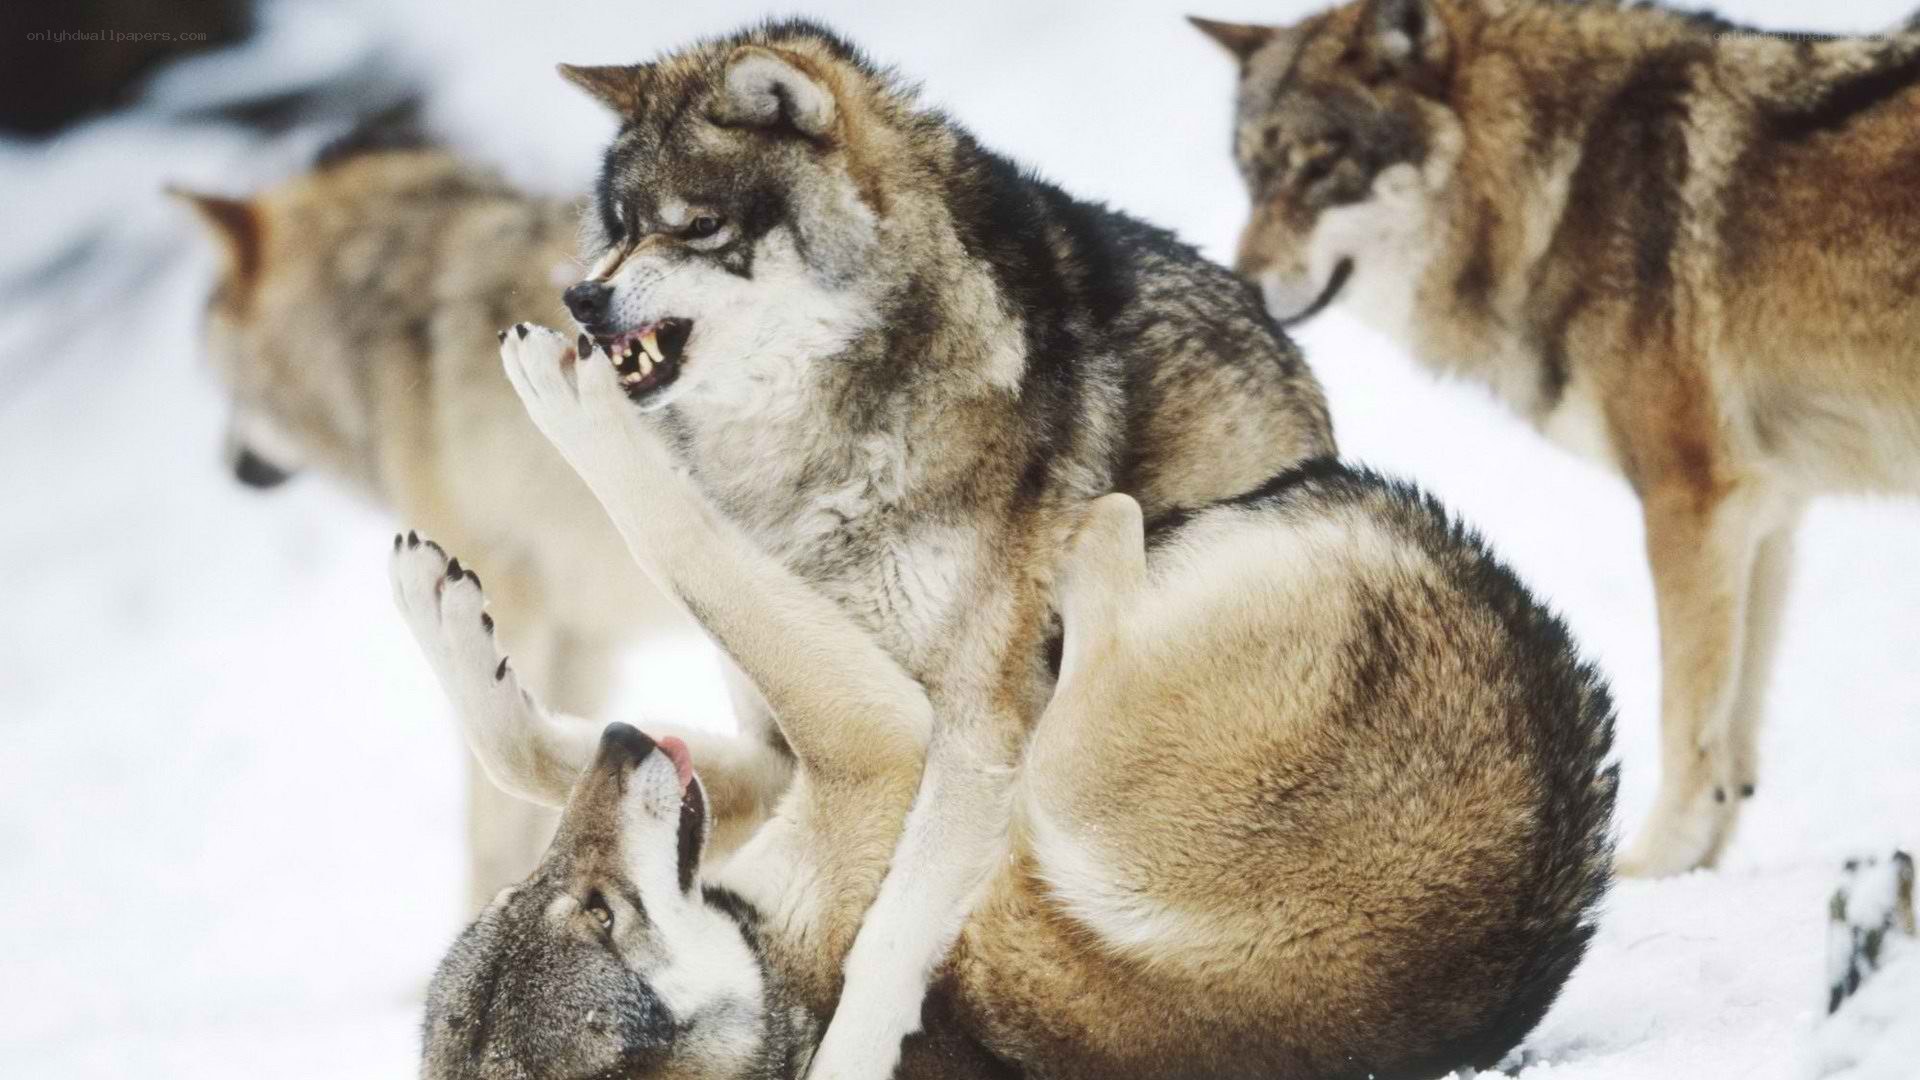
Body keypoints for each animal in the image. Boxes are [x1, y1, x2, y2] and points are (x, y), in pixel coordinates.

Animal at [392, 326, 1617, 1078]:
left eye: (553, 896)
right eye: (594, 912)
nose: (623, 735)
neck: (777, 990)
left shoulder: (838, 761)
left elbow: (535, 743)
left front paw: (445, 612)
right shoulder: (885, 750)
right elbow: (682, 550)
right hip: (1073, 786)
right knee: (1098, 581)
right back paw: (1086, 549)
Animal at [534, 20, 1336, 1076]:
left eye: (696, 226)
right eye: (621, 225)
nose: (581, 299)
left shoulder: (975, 734)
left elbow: (886, 939)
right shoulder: (785, 724)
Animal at [1194, 0, 1920, 877]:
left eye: (1322, 165)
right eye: (1252, 174)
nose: (1238, 284)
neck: (1559, 187)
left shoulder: (1691, 501)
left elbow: (1688, 728)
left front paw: (1649, 873)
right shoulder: (1768, 507)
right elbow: (1734, 744)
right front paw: (1698, 875)